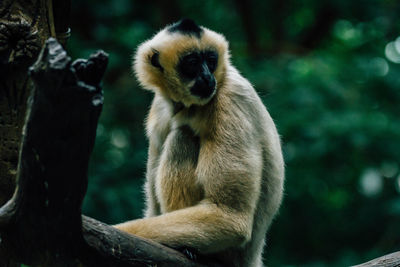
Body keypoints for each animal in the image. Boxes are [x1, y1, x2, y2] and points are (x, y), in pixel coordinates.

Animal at [114, 19, 286, 267]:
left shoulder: (231, 99)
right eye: (193, 63)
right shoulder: (159, 108)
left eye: (211, 61)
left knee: (182, 136)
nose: (207, 76)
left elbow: (229, 216)